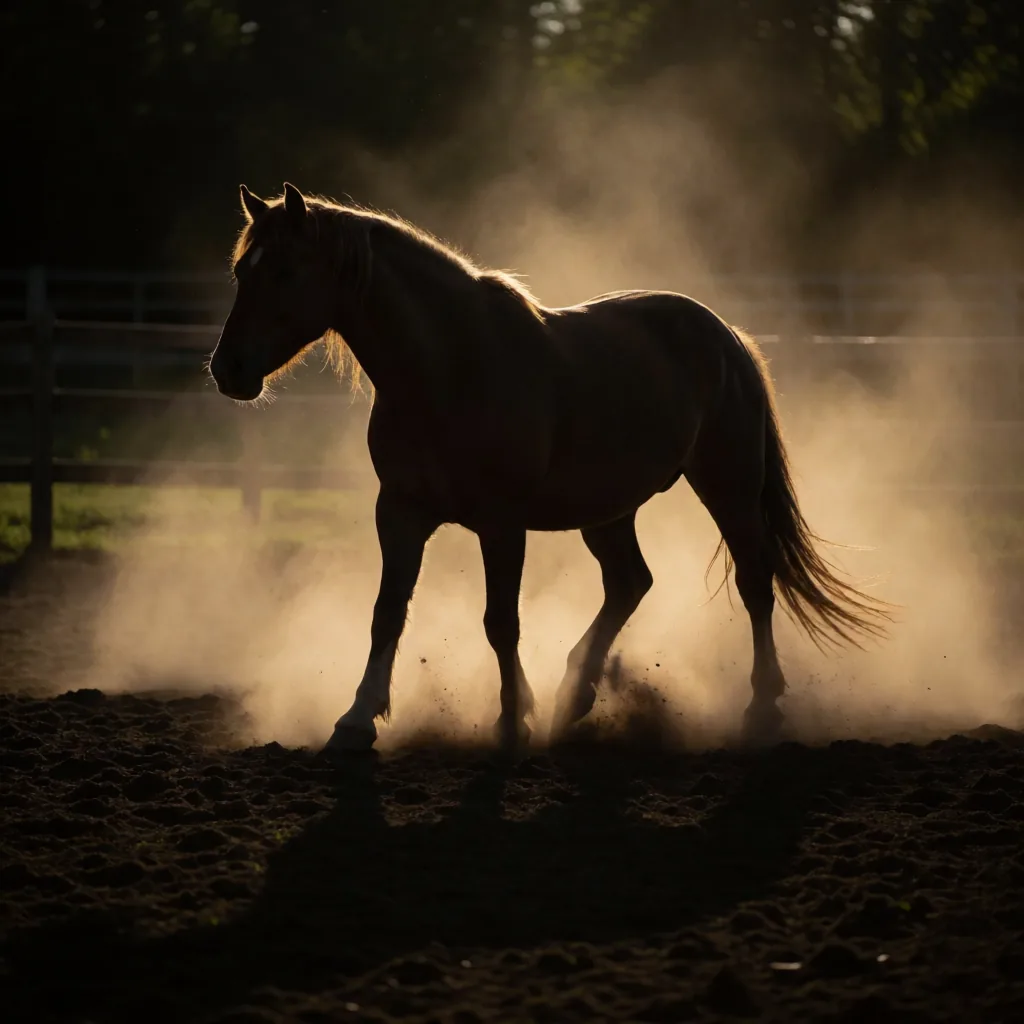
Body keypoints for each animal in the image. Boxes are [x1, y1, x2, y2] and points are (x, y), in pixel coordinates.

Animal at [209, 182, 891, 755]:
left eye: (285, 271)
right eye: (243, 271)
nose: (227, 369)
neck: (449, 367)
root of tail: (727, 336)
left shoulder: (501, 524)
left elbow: (500, 622)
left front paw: (512, 720)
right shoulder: (399, 512)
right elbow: (387, 612)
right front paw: (356, 720)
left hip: (729, 486)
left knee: (754, 582)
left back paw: (761, 707)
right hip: (609, 510)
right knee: (630, 582)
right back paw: (575, 695)